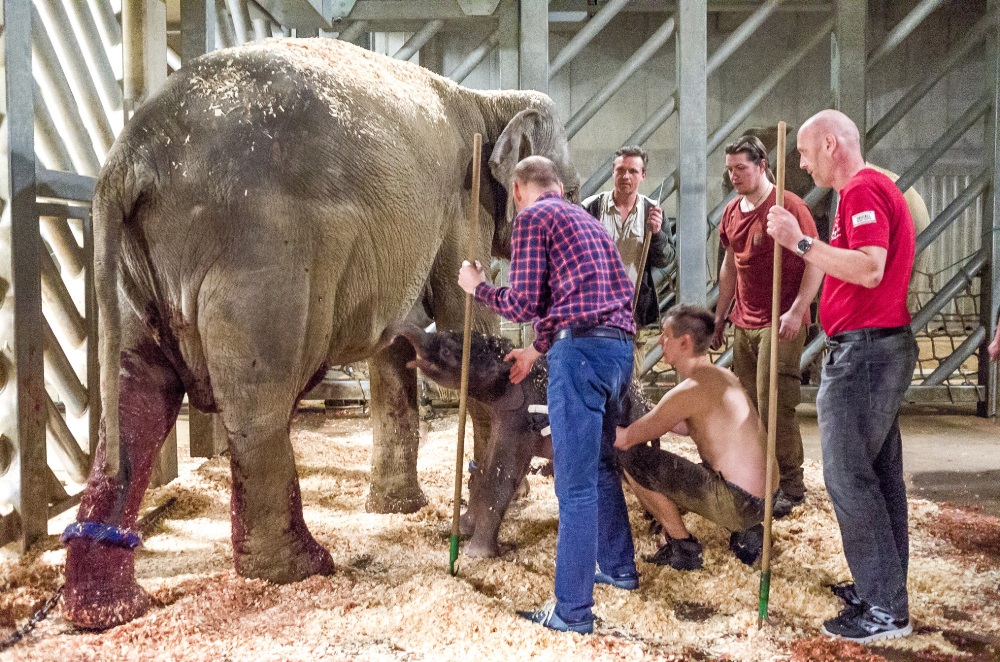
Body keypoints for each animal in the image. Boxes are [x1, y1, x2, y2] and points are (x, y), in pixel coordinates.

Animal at [64, 37, 580, 632]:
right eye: (570, 193)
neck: (486, 99)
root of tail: (131, 155)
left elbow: (397, 342)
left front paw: (401, 510)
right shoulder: (461, 203)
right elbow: (463, 313)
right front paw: (510, 499)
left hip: (136, 265)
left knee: (135, 391)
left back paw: (106, 612)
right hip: (262, 255)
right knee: (258, 400)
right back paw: (300, 568)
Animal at [390, 324, 656, 556]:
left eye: (446, 350)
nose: (392, 339)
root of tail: (648, 401)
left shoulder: (521, 418)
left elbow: (500, 475)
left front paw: (477, 555)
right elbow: (485, 470)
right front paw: (462, 529)